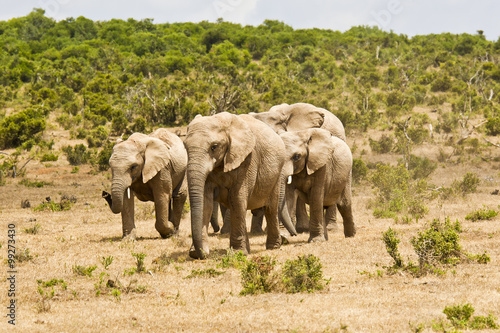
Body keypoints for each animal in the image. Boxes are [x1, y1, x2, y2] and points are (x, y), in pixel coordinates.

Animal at [184, 111, 292, 260]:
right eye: (185, 147)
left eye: (214, 147)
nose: (202, 256)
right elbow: (205, 202)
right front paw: (196, 253)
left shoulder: (248, 160)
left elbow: (237, 199)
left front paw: (236, 253)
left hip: (276, 174)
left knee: (271, 209)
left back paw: (273, 247)